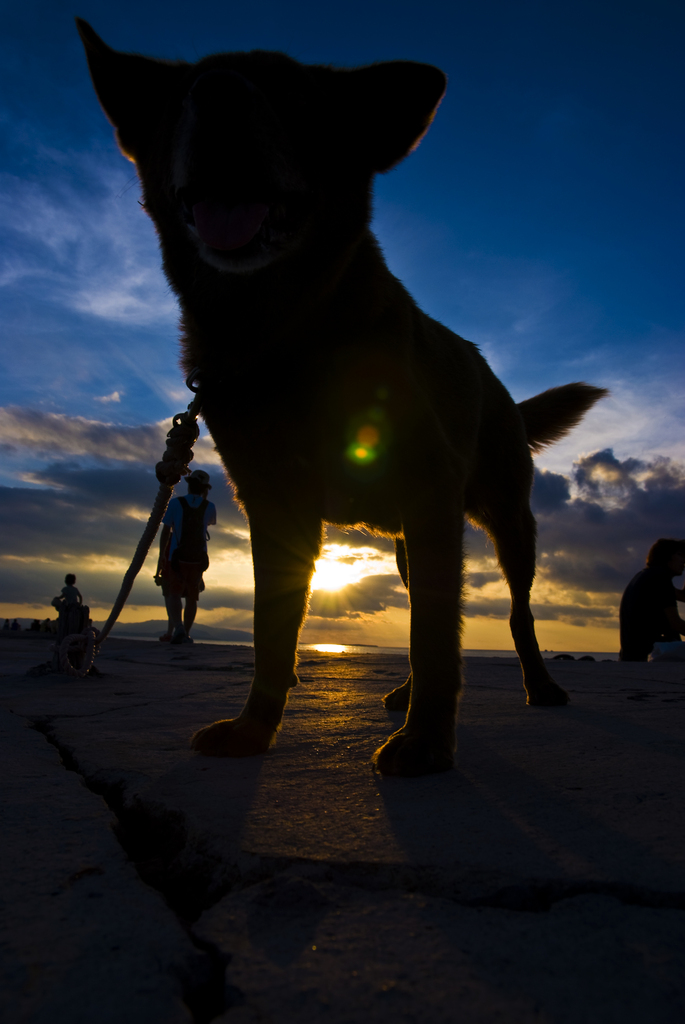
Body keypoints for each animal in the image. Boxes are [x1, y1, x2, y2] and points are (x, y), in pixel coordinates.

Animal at [77, 22, 606, 774]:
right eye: (182, 96)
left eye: (297, 97)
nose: (219, 94)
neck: (284, 331)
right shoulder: (275, 507)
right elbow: (274, 630)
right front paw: (255, 729)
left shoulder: (427, 488)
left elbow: (438, 638)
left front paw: (425, 745)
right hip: (415, 543)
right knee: (428, 607)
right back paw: (406, 692)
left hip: (506, 521)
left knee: (514, 613)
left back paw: (538, 684)